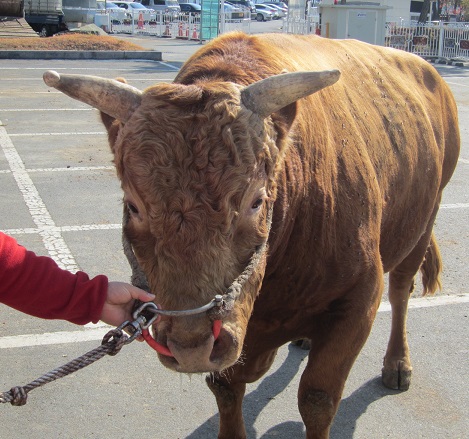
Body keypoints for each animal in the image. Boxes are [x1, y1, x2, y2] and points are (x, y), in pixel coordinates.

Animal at [42, 32, 458, 438]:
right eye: (133, 206)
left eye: (256, 201)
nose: (191, 345)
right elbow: (227, 388)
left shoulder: (359, 300)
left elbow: (318, 398)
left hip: (426, 217)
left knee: (401, 289)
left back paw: (397, 364)